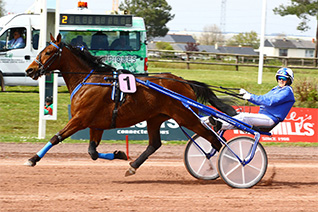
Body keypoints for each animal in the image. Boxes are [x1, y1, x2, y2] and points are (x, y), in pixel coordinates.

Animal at [24, 33, 236, 176]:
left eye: (48, 52)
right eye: (41, 50)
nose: (29, 70)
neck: (88, 80)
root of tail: (183, 81)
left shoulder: (80, 119)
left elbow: (56, 137)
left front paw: (32, 159)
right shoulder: (96, 124)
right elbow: (92, 152)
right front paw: (120, 154)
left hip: (185, 116)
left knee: (214, 138)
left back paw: (222, 163)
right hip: (155, 118)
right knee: (155, 144)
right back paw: (133, 167)